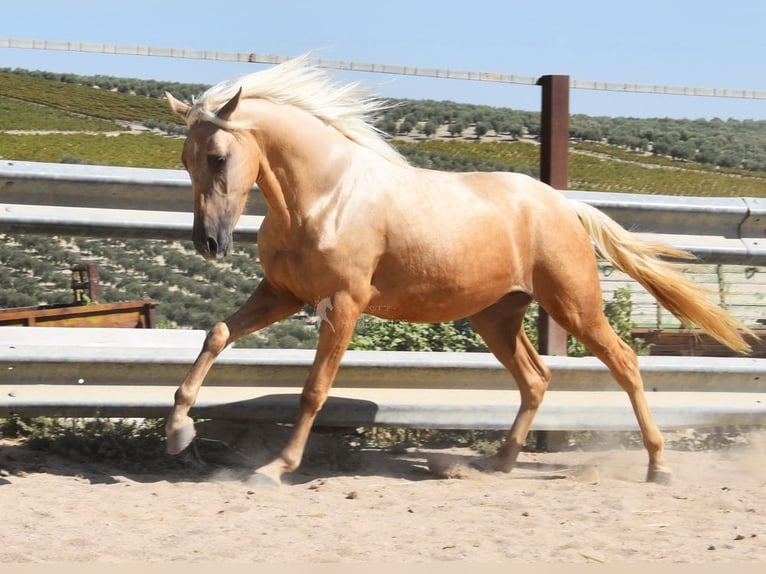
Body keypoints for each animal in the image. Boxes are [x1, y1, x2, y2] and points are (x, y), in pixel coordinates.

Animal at [165, 54, 752, 488]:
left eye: (218, 156)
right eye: (186, 160)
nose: (209, 243)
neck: (325, 196)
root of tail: (564, 205)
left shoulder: (344, 303)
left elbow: (314, 389)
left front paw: (276, 467)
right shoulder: (282, 294)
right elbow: (217, 334)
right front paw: (178, 432)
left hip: (574, 304)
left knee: (625, 363)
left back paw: (659, 466)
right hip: (497, 317)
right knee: (536, 379)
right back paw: (498, 462)